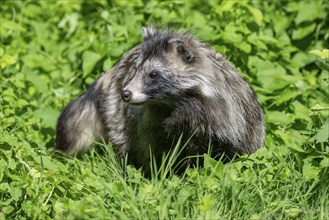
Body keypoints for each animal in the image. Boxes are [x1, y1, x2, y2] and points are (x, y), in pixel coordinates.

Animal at [55, 26, 264, 171]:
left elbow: (238, 153)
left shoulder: (232, 119)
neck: (176, 104)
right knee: (123, 139)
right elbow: (156, 154)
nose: (125, 93)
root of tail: (109, 73)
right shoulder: (151, 124)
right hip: (116, 111)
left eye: (153, 74)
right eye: (136, 69)